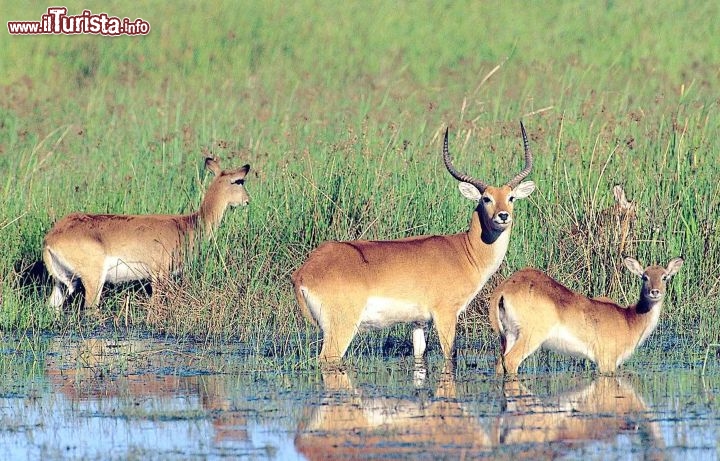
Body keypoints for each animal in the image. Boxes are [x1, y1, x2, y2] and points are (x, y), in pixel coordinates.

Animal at [43, 156, 250, 310]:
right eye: (238, 181)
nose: (247, 201)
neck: (188, 225)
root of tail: (50, 238)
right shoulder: (159, 276)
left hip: (62, 283)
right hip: (94, 280)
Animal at [292, 122, 536, 362]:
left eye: (511, 197)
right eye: (486, 198)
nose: (503, 216)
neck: (465, 252)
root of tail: (304, 272)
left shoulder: (419, 322)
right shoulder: (445, 314)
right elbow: (450, 355)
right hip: (342, 327)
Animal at [492, 255, 684, 374]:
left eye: (665, 276)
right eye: (644, 276)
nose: (655, 292)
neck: (629, 319)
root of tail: (504, 288)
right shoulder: (606, 362)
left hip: (509, 335)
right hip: (530, 336)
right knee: (511, 361)